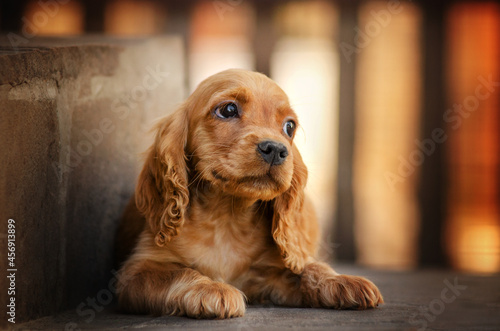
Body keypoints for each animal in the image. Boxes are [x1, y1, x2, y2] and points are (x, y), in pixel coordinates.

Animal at [116, 69, 382, 320]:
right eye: (228, 109)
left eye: (289, 126)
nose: (276, 149)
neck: (227, 217)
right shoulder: (137, 272)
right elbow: (178, 272)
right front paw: (212, 289)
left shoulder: (270, 272)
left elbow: (308, 269)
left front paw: (341, 280)